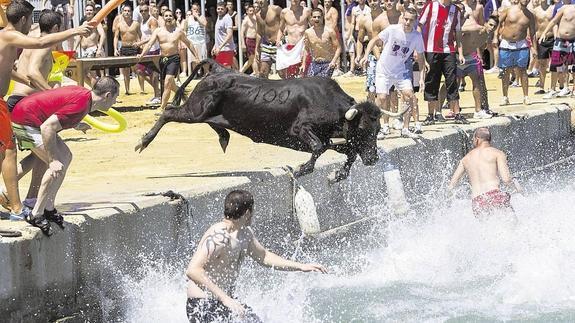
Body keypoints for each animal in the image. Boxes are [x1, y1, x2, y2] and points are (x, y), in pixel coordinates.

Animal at [136, 59, 382, 184]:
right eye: (363, 128)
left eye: (378, 129)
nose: (374, 159)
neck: (328, 101)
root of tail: (218, 70)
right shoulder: (300, 130)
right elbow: (319, 147)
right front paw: (302, 169)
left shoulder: (322, 138)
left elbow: (346, 151)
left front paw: (338, 175)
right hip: (195, 110)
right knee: (168, 112)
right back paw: (144, 141)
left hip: (202, 112)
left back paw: (223, 136)